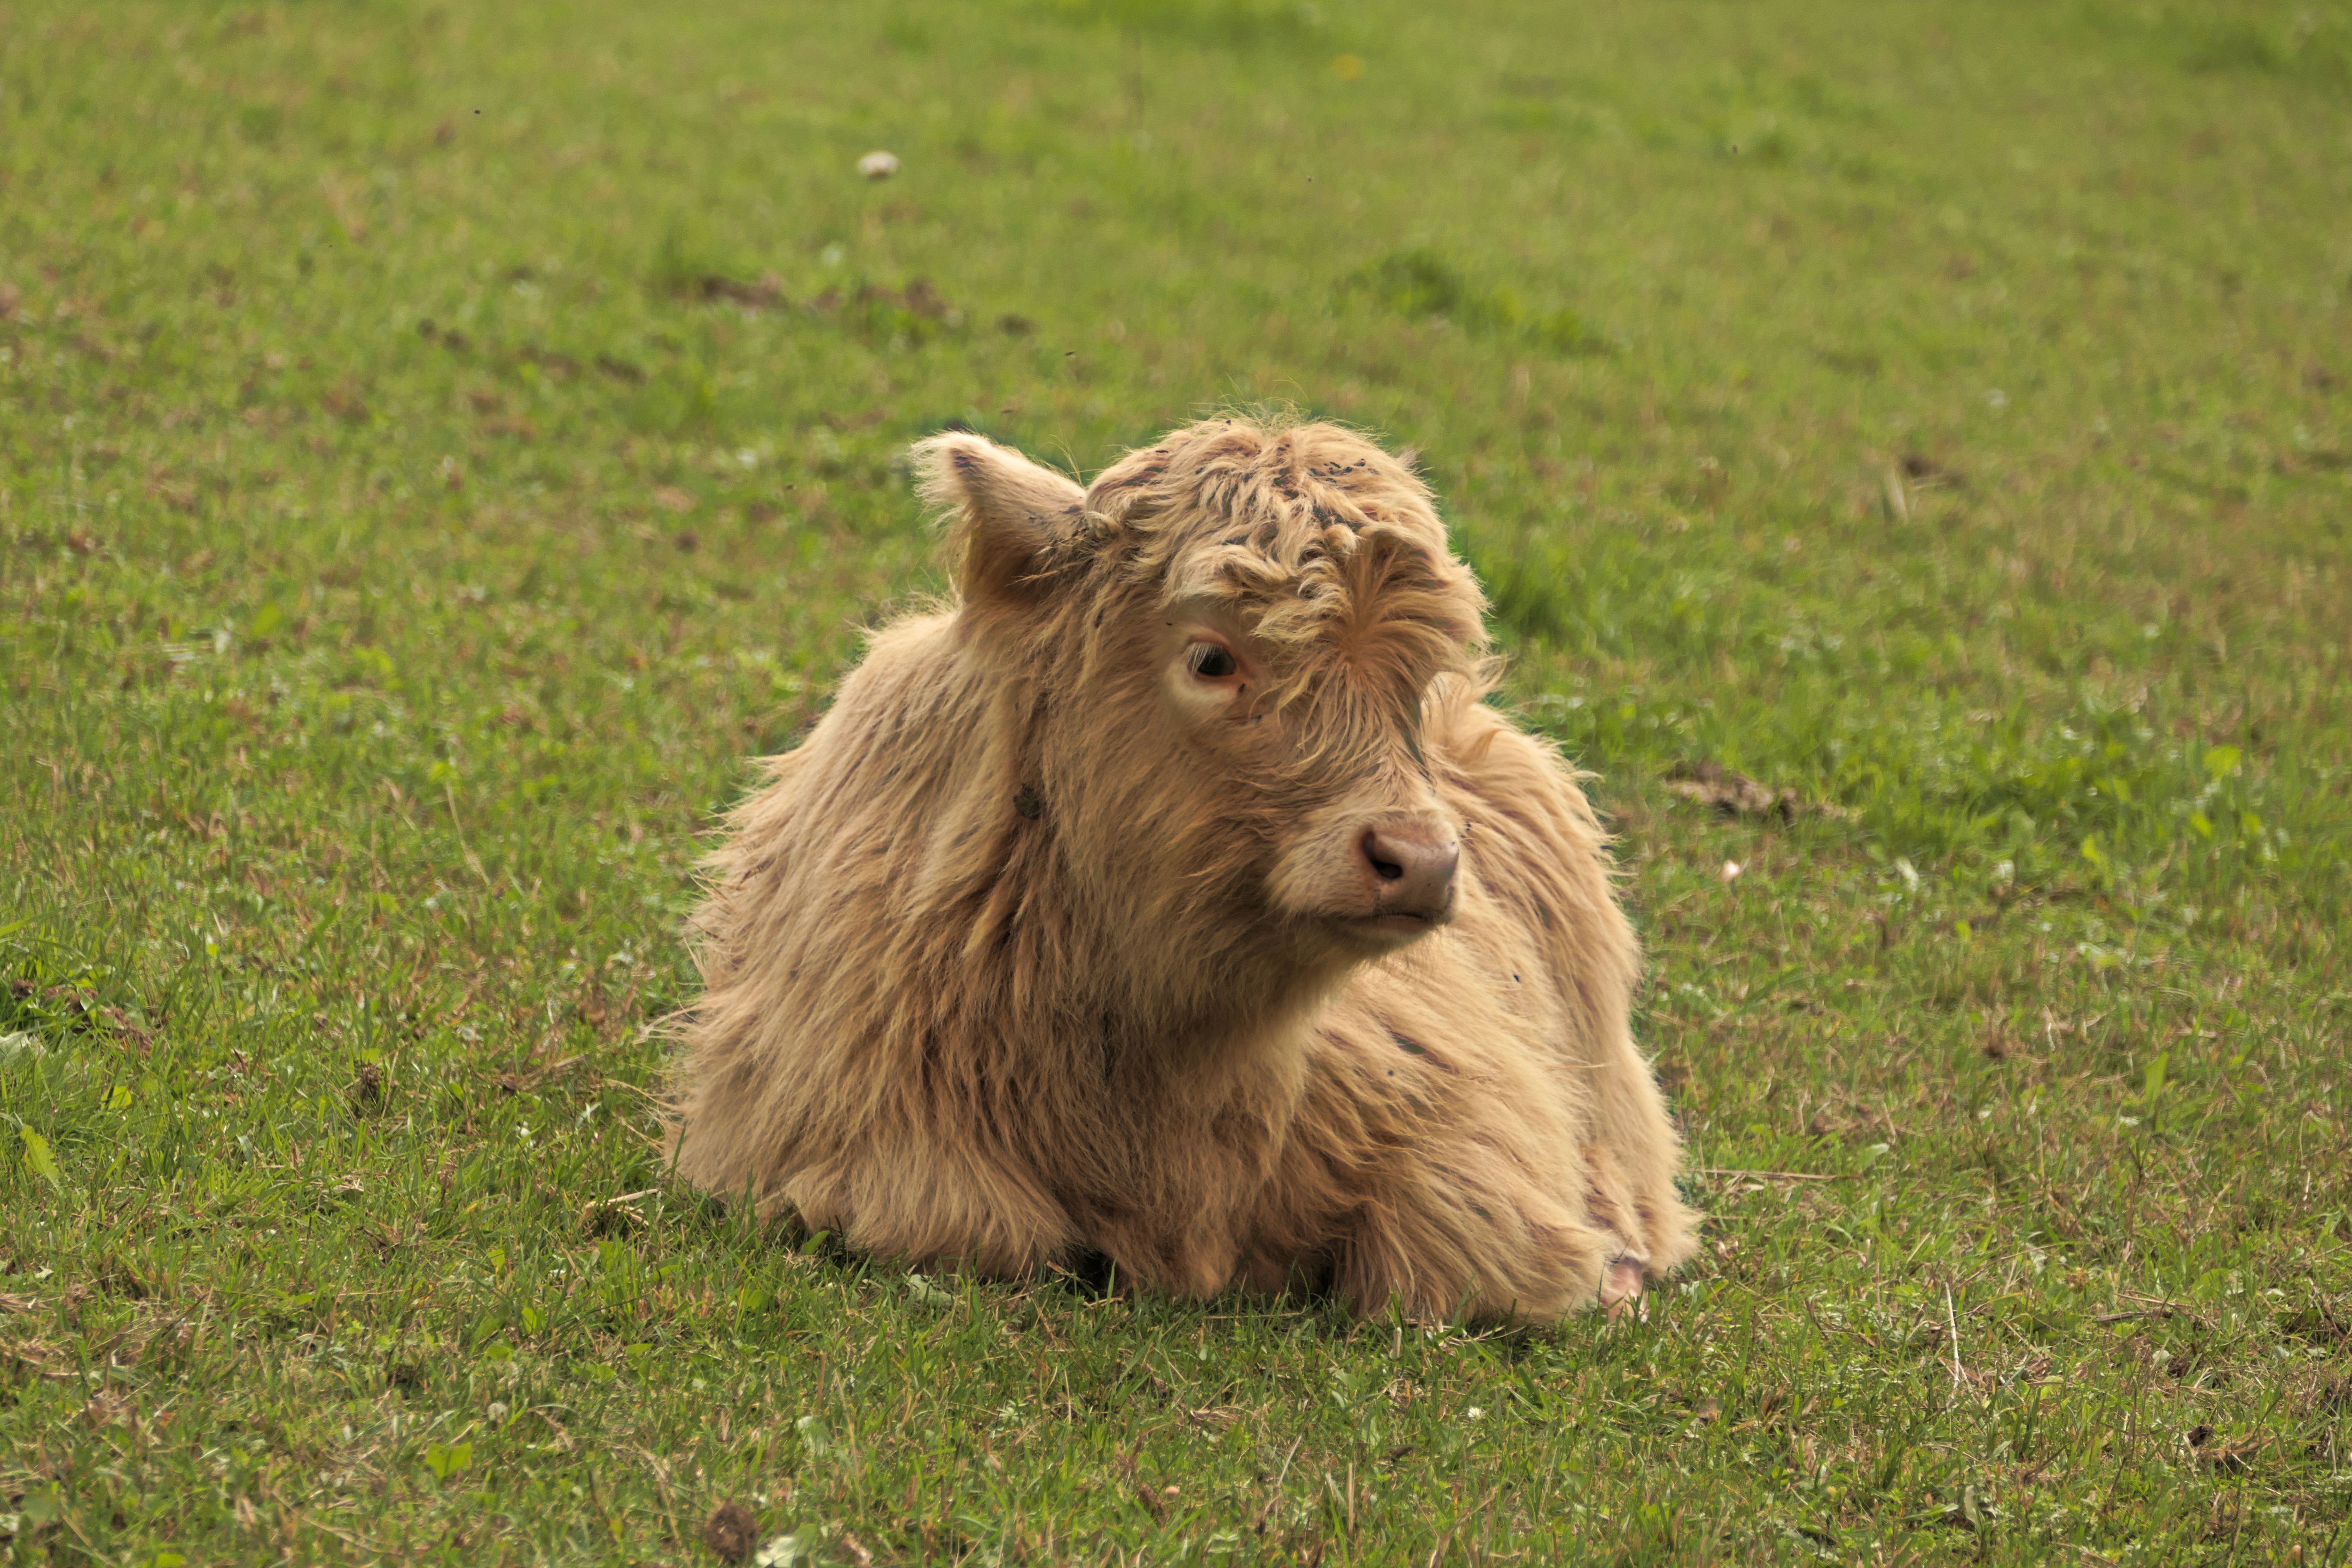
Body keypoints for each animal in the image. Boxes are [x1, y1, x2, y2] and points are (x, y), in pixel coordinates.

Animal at [665, 415, 1697, 1323]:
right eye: (1210, 657)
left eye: (1416, 679)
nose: (1420, 861)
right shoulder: (816, 1130)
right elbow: (971, 1225)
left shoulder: (1469, 1105)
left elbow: (1460, 1252)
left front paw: (1607, 1276)